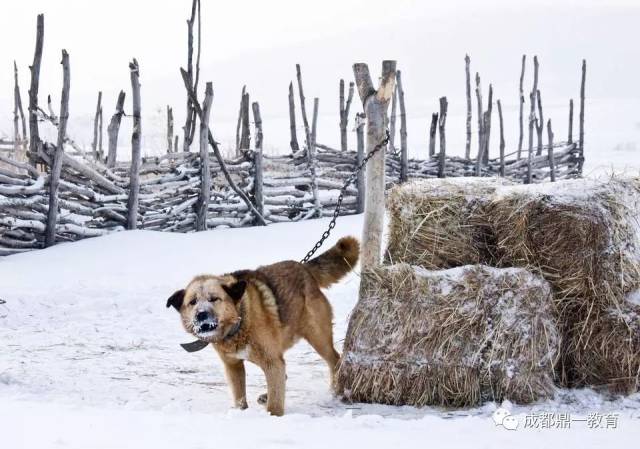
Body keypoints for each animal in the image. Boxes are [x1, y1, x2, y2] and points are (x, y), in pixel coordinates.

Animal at [166, 236, 360, 414]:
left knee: (334, 360)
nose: (201, 315)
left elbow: (275, 405)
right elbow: (240, 398)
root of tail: (303, 268)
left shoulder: (271, 362)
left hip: (317, 338)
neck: (239, 323)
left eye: (214, 299)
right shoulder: (233, 366)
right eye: (192, 302)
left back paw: (334, 391)